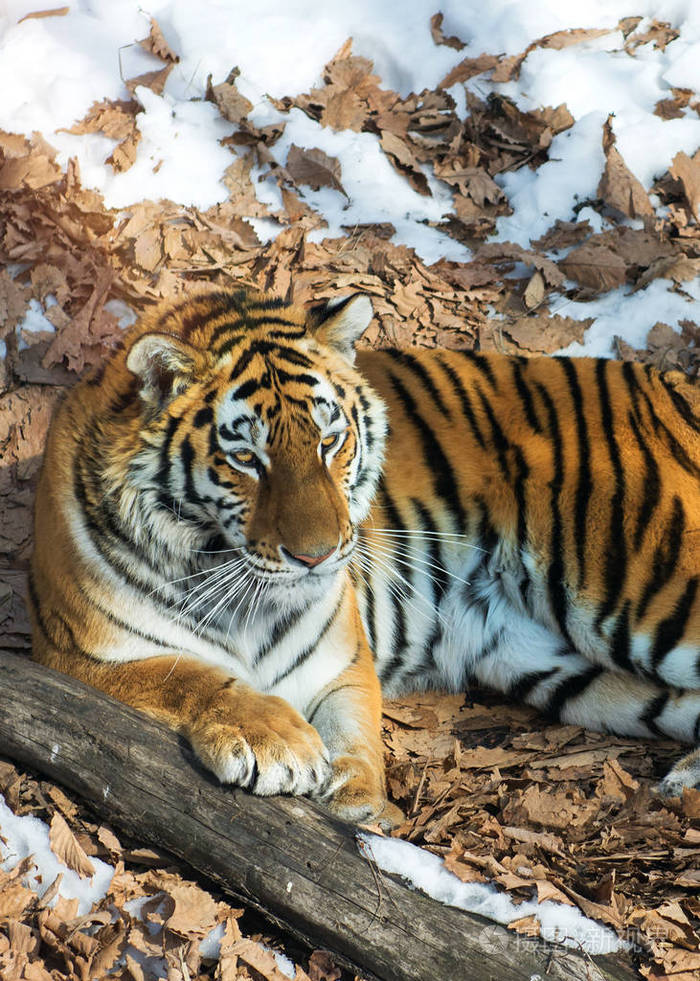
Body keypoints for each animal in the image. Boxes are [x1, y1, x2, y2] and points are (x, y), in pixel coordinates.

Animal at [29, 287, 700, 828]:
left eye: (330, 441)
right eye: (245, 458)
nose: (318, 555)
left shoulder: (343, 661)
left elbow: (356, 728)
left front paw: (358, 798)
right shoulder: (73, 655)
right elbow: (183, 674)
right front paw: (280, 742)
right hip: (562, 666)